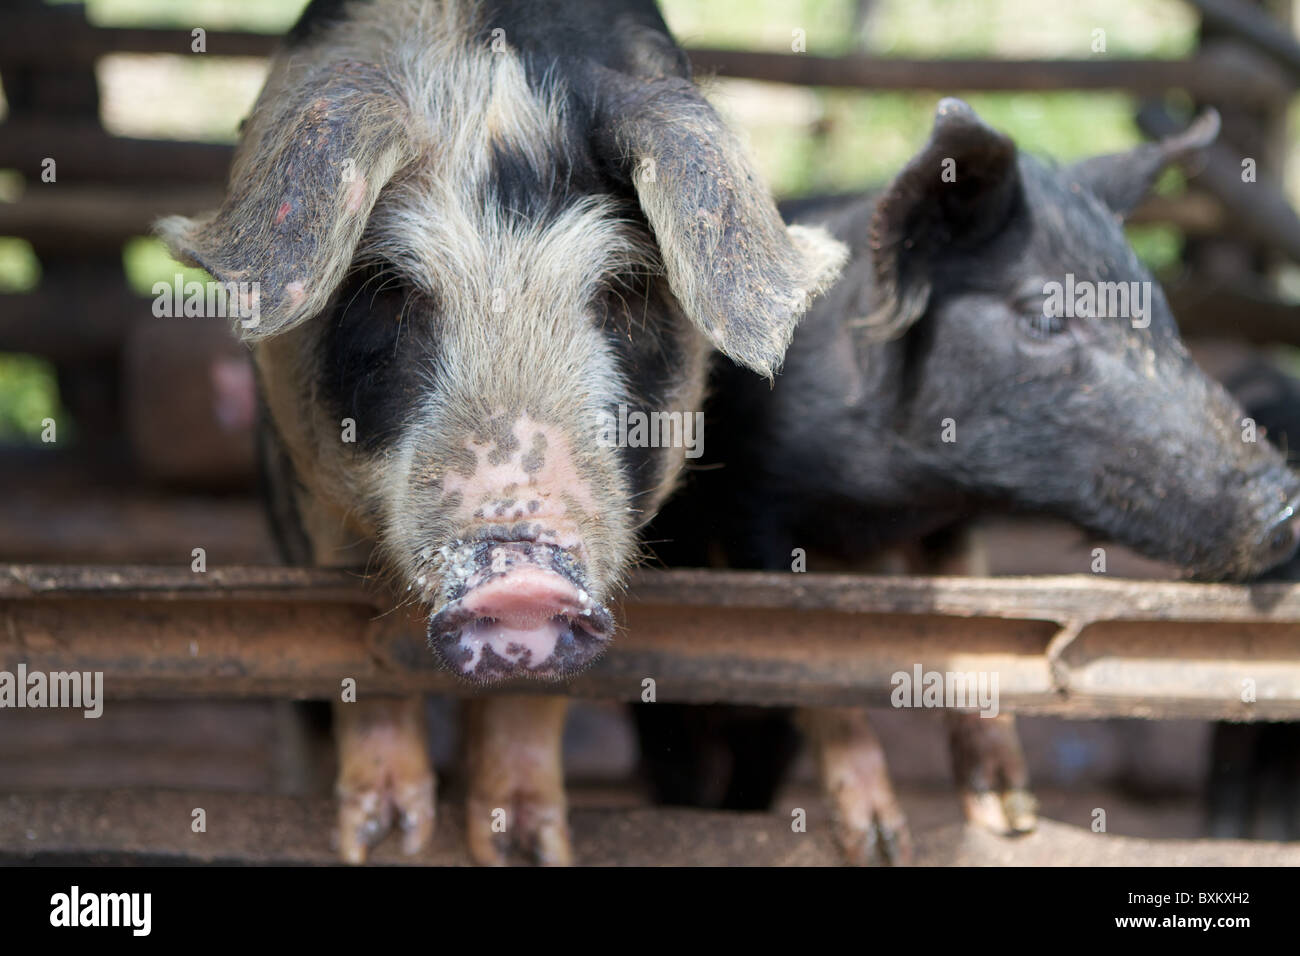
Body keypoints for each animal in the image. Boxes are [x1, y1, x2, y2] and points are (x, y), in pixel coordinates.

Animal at [158, 0, 845, 864]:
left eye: (622, 294)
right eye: (388, 291)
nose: (522, 576)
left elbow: (532, 700)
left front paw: (525, 844)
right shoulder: (311, 497)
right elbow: (359, 657)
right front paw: (386, 840)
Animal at [644, 98, 1300, 864]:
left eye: (1163, 316)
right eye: (1046, 318)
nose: (1287, 505)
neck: (888, 500)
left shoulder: (952, 524)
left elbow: (975, 629)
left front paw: (1010, 820)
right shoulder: (751, 506)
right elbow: (807, 658)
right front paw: (881, 844)